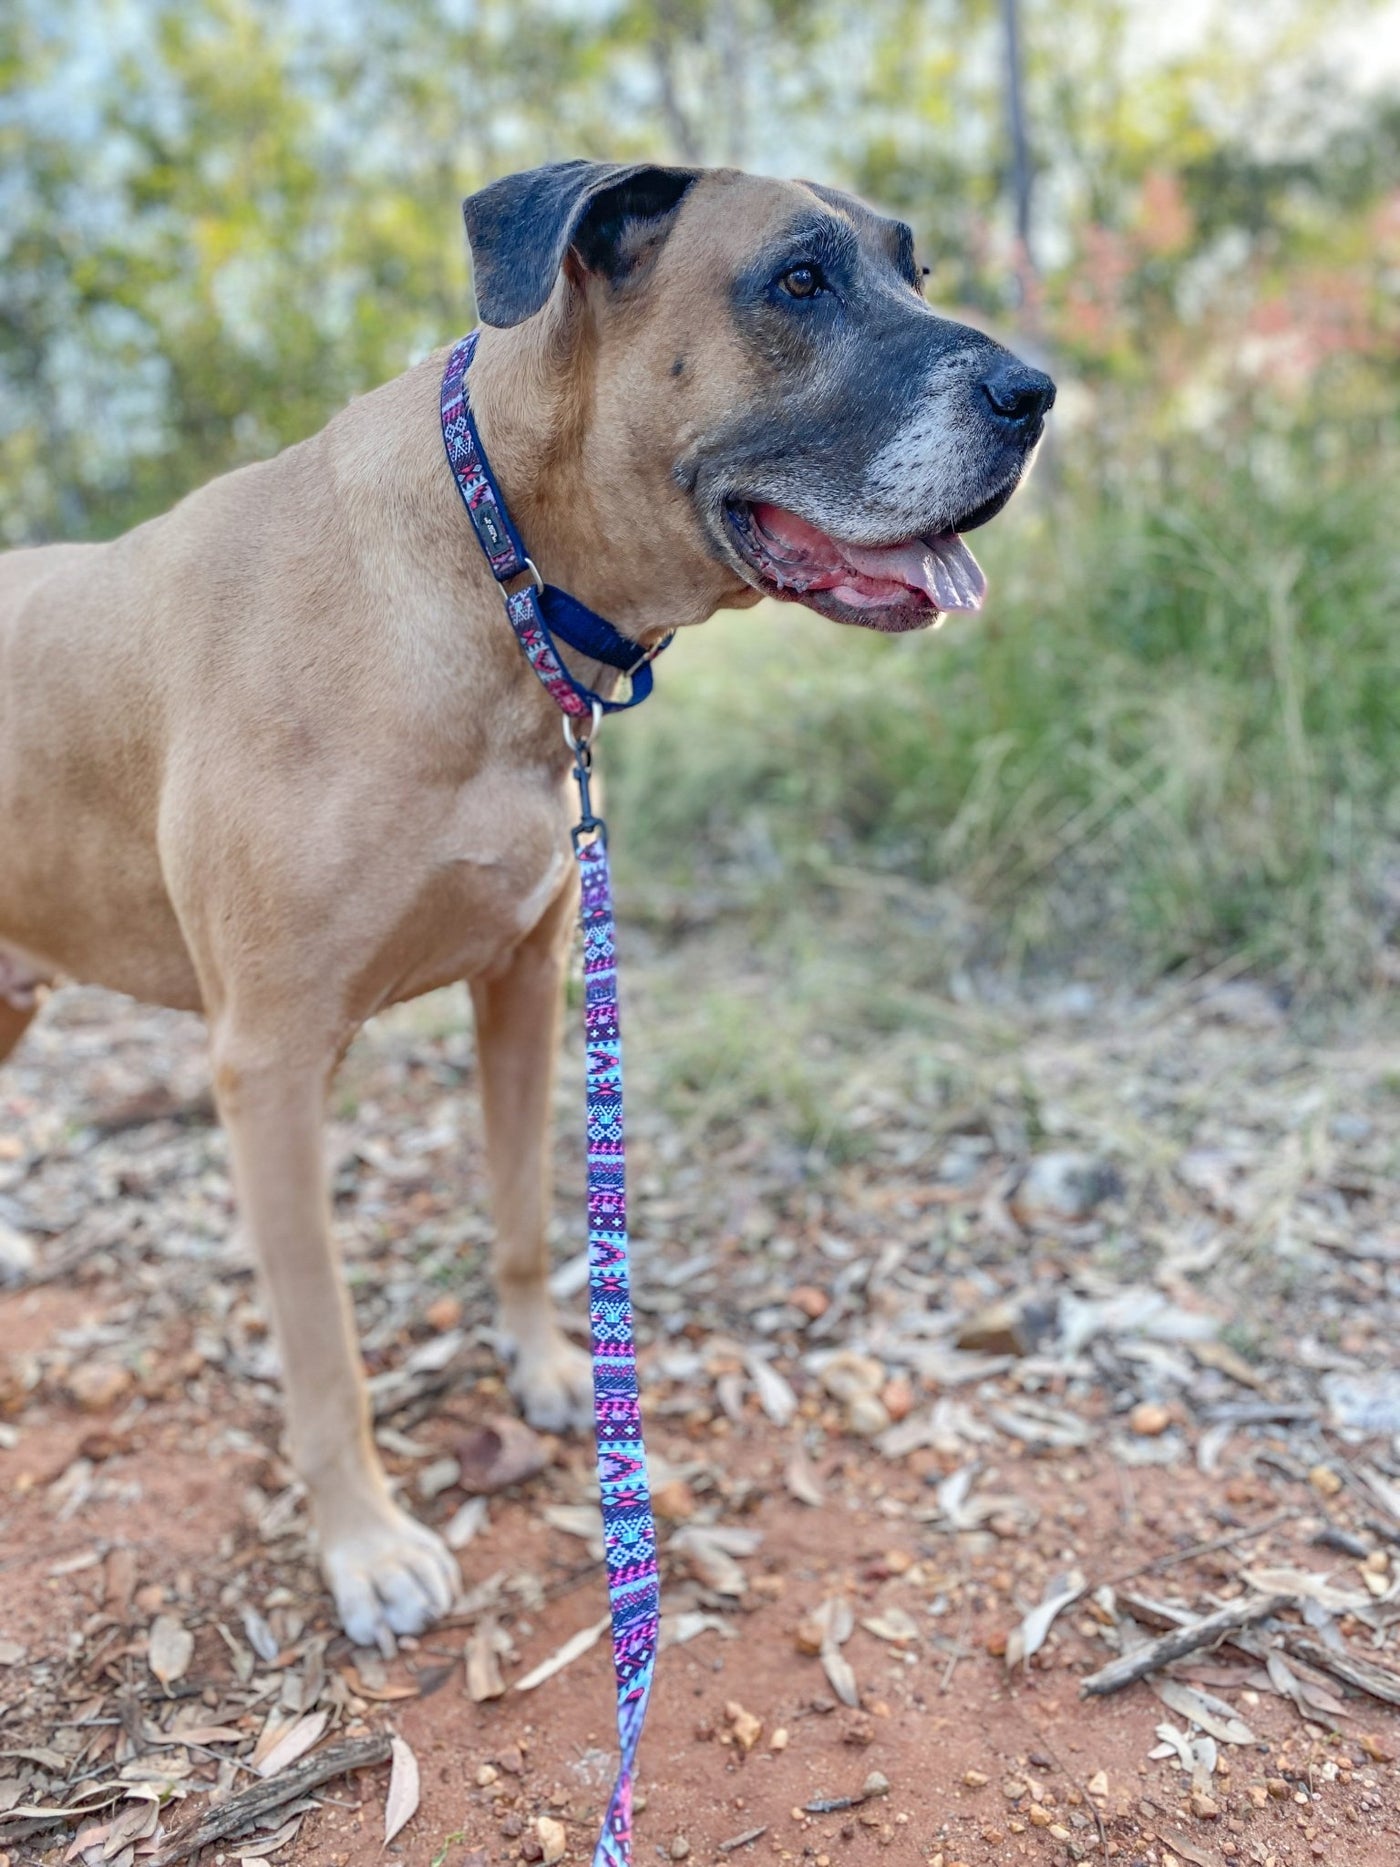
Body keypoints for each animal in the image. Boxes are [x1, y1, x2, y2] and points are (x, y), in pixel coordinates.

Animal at [0, 164, 1052, 1650]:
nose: (1037, 393)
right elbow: (324, 1351)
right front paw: (364, 1543)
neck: (492, 562)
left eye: (912, 267)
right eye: (798, 280)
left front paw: (552, 1366)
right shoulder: (269, 1066)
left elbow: (520, 1214)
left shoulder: (523, 985)